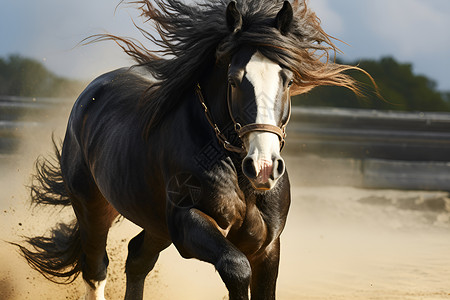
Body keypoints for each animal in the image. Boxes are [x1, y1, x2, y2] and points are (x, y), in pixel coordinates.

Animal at [16, 1, 362, 298]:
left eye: (287, 81)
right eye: (234, 80)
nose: (263, 168)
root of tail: (89, 95)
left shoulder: (266, 246)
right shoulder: (188, 223)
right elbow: (236, 268)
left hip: (156, 225)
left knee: (137, 259)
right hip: (93, 206)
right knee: (96, 268)